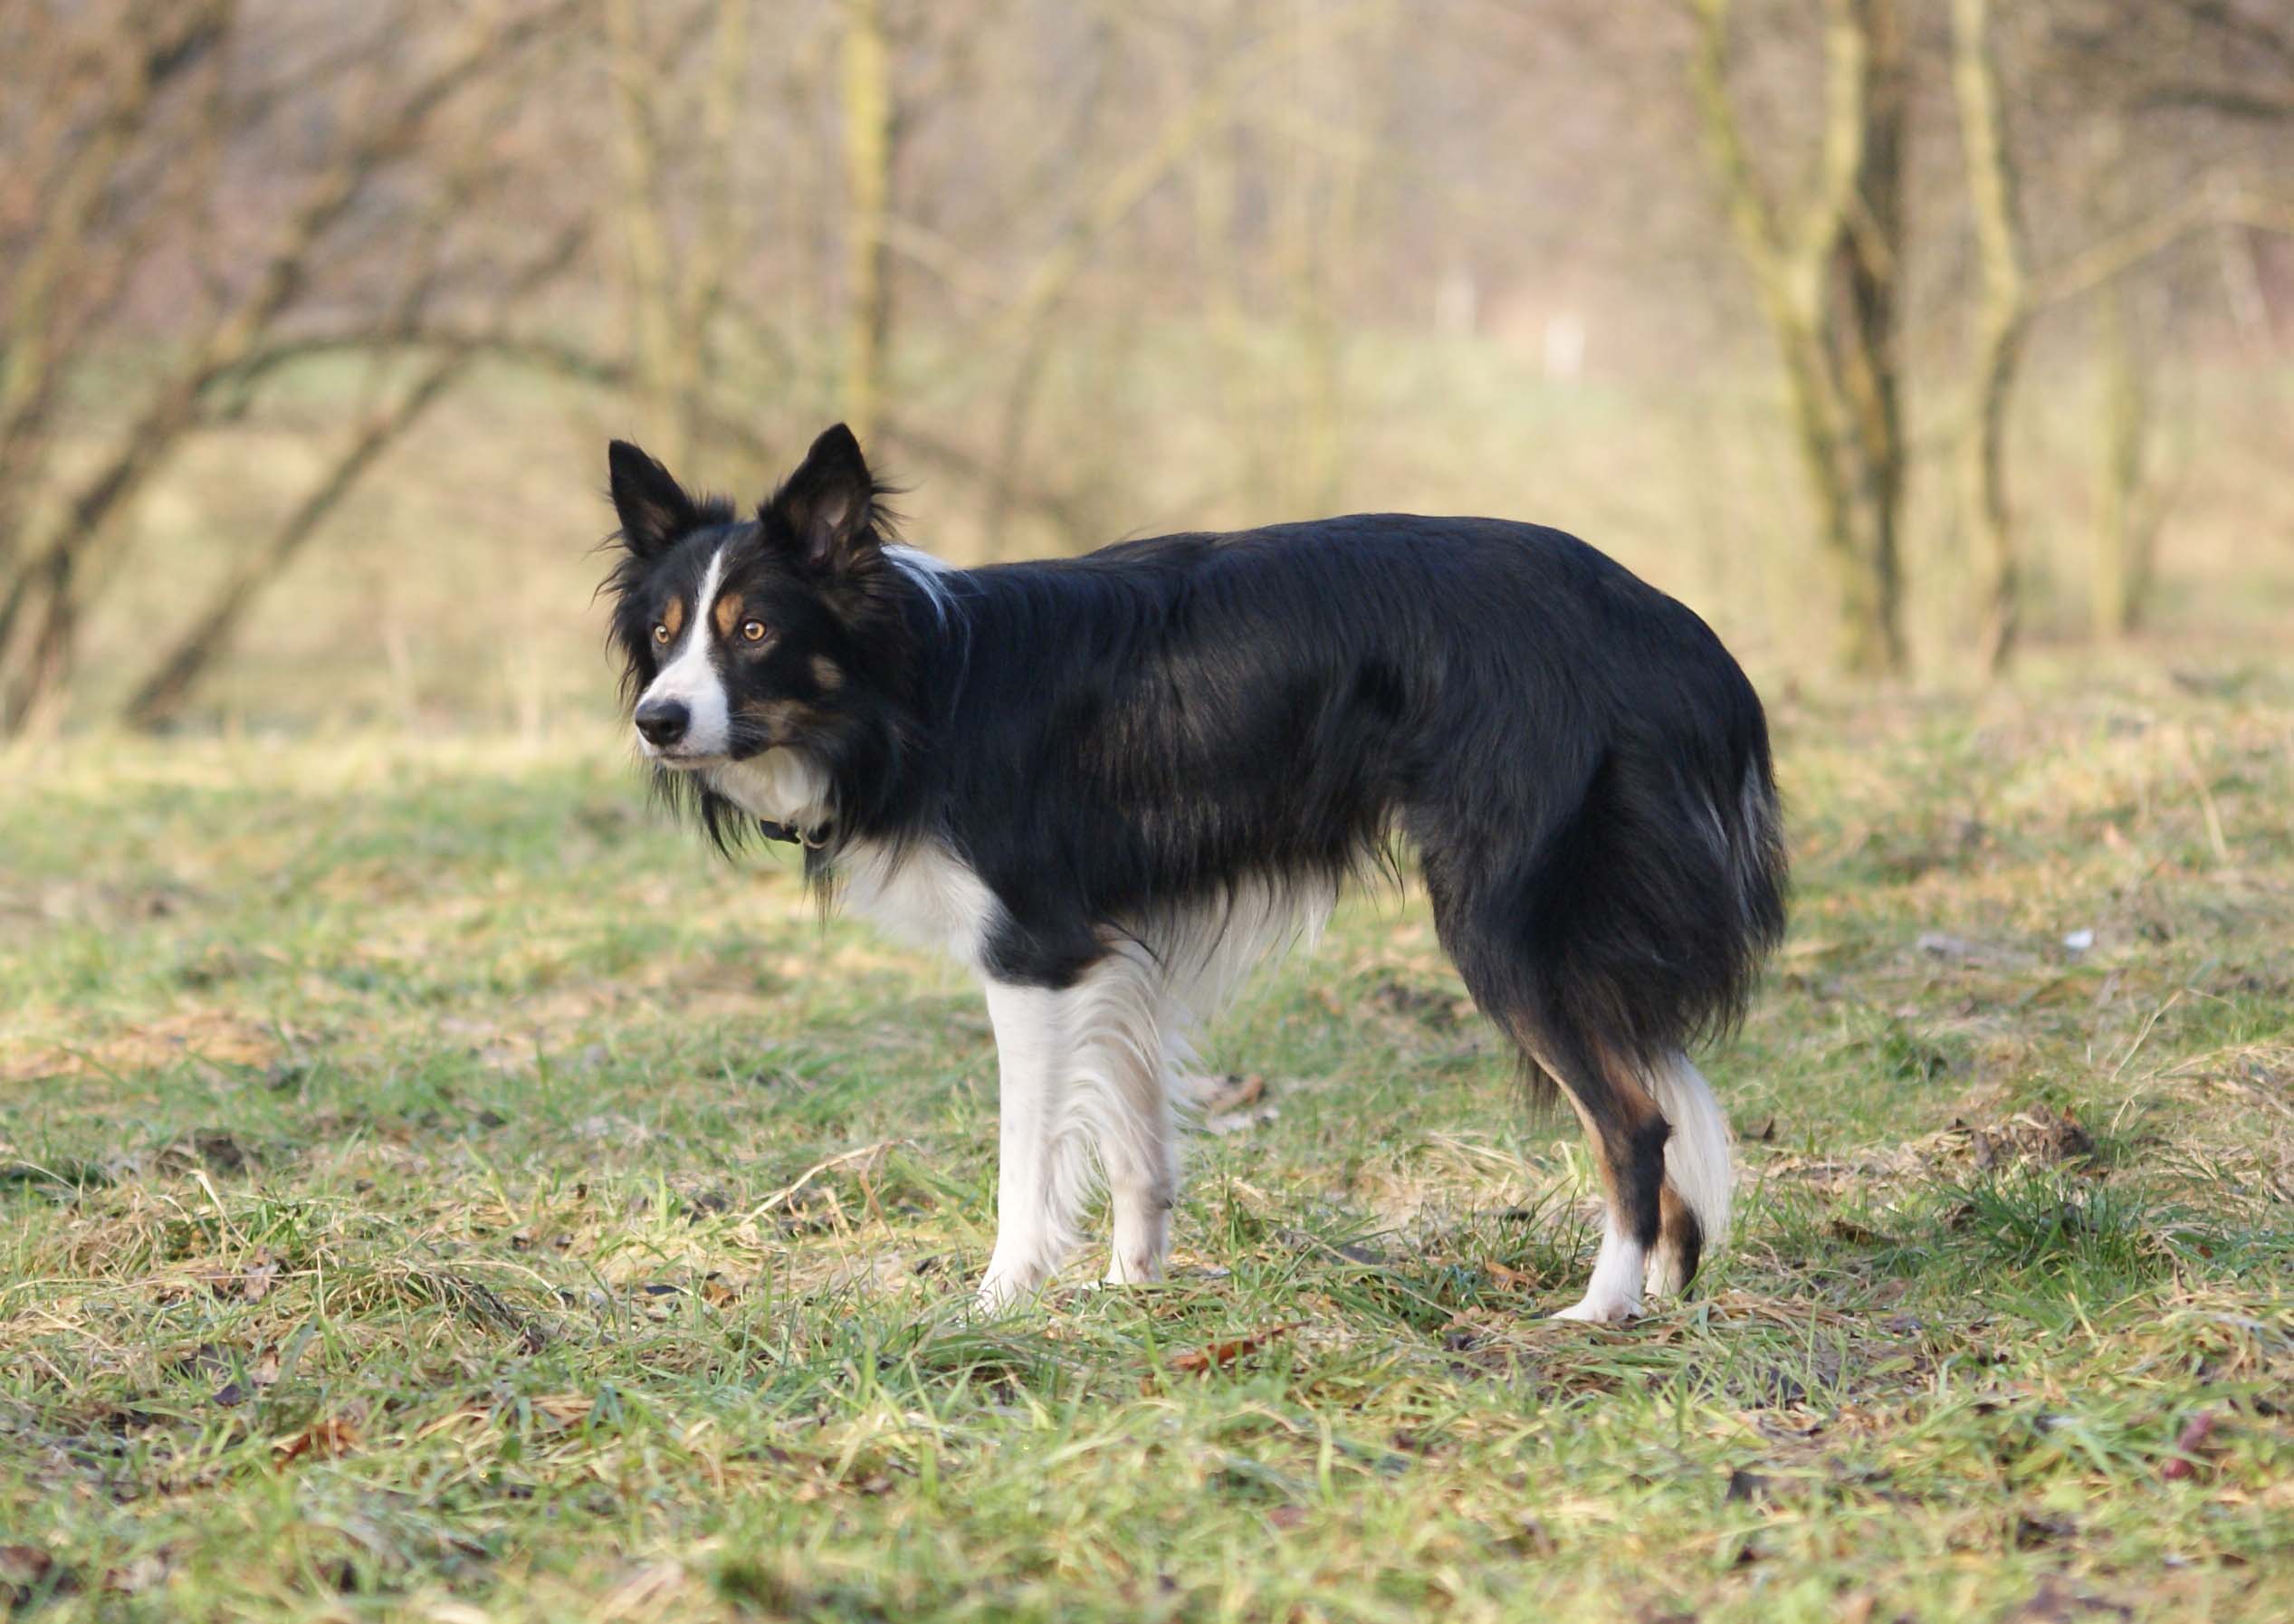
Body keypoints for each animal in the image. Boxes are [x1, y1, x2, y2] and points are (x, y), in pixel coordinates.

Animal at [600, 428, 1780, 1321]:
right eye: (663, 633)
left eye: (754, 629)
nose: (655, 722)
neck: (914, 690)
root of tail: (1659, 622)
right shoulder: (1116, 953)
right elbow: (1137, 1150)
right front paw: (1132, 1292)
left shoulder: (1033, 956)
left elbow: (1026, 1157)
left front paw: (998, 1301)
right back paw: (1662, 1291)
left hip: (1498, 924)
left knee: (1632, 1123)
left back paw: (1600, 1306)